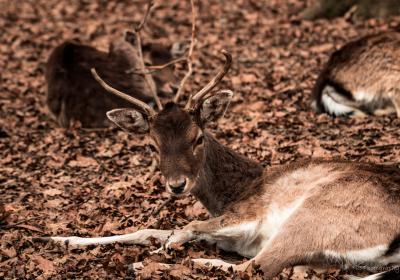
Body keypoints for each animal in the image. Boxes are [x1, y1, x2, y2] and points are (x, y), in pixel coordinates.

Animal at [40, 48, 400, 280]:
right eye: (152, 145)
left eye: (198, 137)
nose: (176, 185)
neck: (236, 189)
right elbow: (149, 229)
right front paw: (60, 239)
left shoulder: (250, 215)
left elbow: (186, 227)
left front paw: (162, 252)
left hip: (316, 215)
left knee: (254, 269)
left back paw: (163, 265)